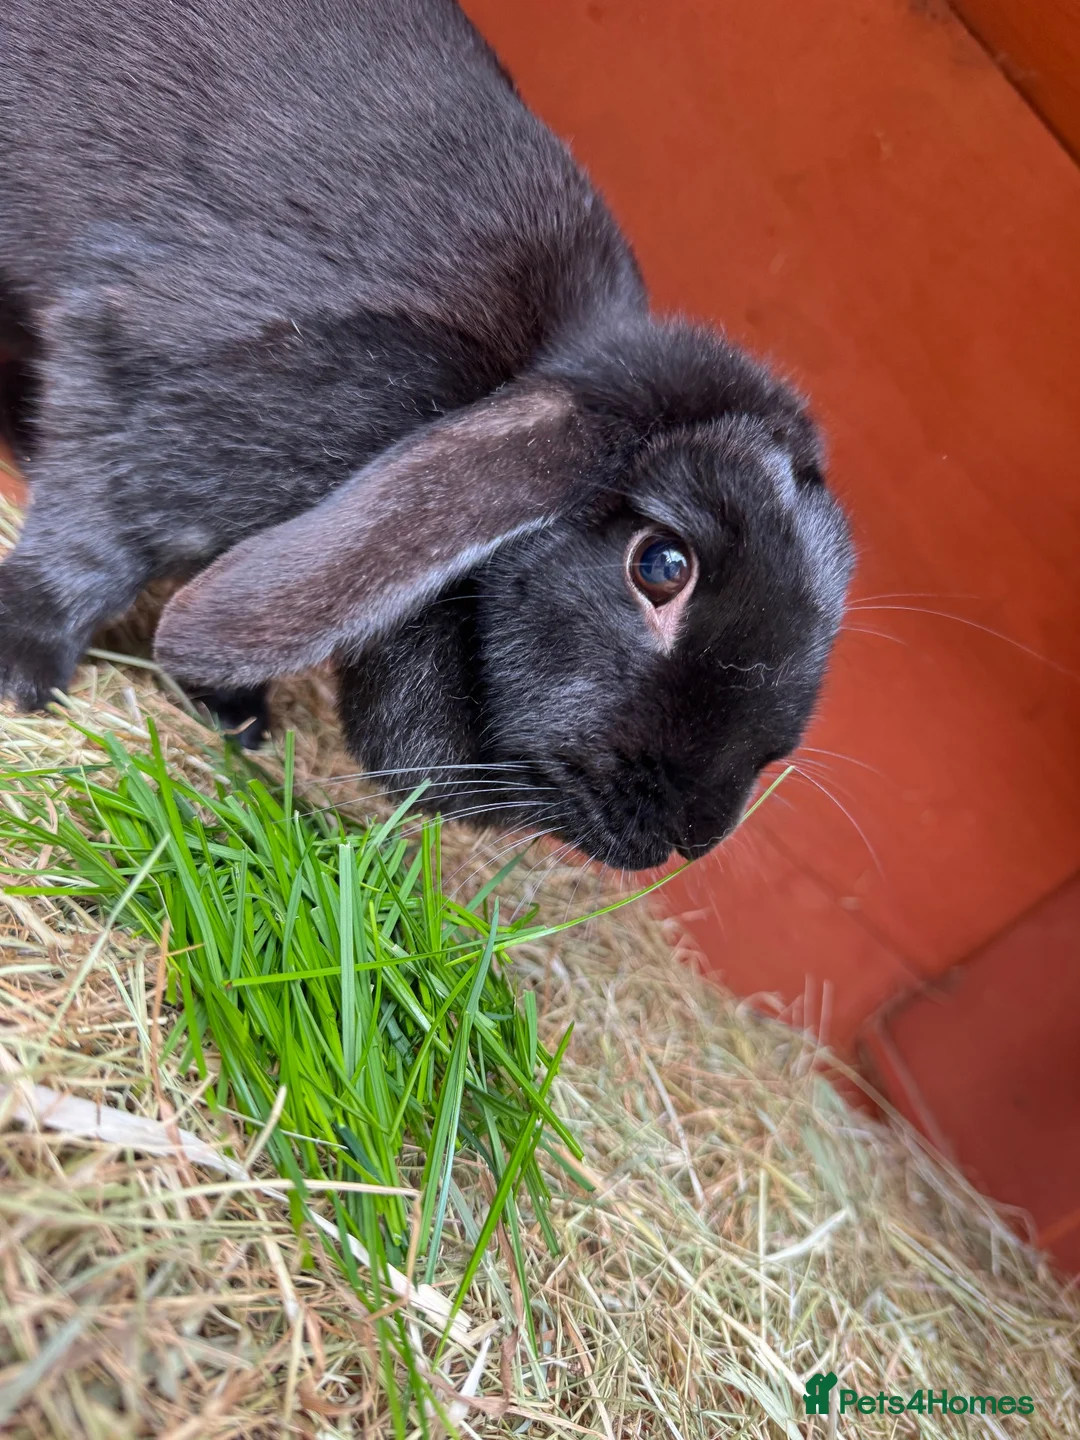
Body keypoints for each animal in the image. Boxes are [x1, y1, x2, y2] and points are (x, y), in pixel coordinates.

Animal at [0, 0, 852, 870]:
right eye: (661, 565)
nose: (696, 832)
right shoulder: (146, 392)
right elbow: (88, 552)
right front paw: (22, 678)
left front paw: (237, 719)